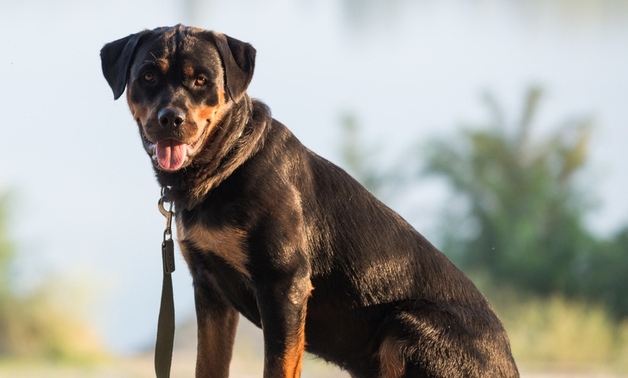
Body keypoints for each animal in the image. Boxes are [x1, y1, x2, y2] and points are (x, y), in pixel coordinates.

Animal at [100, 24, 516, 378]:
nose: (170, 117)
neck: (226, 163)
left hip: (407, 324)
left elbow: (278, 367)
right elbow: (209, 366)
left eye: (201, 80)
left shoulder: (285, 284)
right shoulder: (210, 289)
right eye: (148, 76)